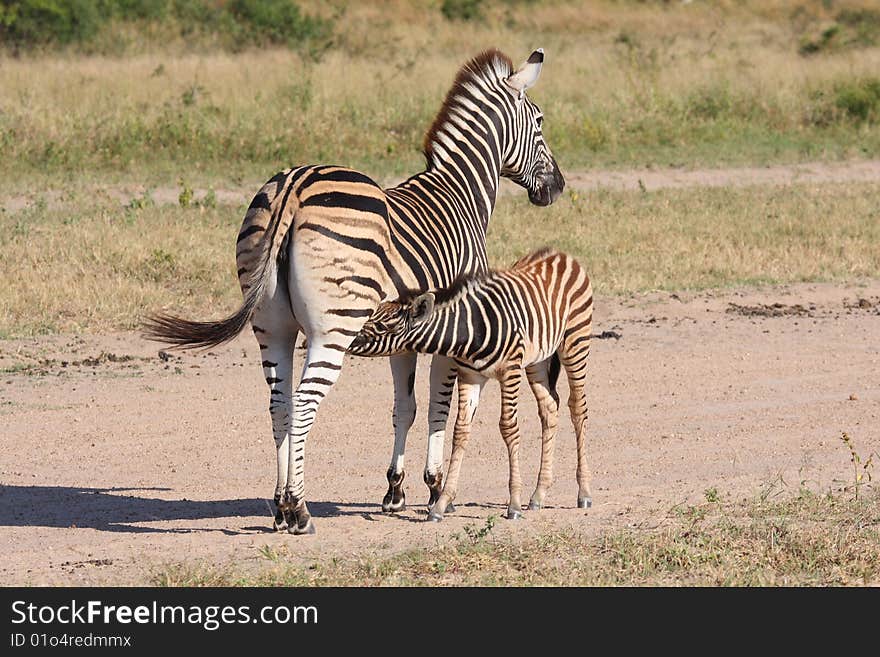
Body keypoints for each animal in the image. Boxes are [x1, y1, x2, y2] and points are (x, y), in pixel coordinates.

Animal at [141, 48, 560, 536]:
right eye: (540, 120)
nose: (558, 187)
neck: (459, 194)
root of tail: (294, 186)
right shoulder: (453, 329)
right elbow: (439, 406)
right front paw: (436, 488)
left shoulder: (407, 336)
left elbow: (405, 406)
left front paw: (395, 491)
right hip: (333, 329)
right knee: (304, 403)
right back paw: (299, 509)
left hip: (272, 327)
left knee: (279, 404)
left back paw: (280, 507)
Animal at [348, 249, 592, 520]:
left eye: (382, 326)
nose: (348, 341)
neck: (470, 330)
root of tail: (560, 254)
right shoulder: (470, 376)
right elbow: (460, 430)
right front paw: (442, 503)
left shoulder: (510, 371)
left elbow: (508, 428)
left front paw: (513, 504)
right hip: (538, 360)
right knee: (549, 408)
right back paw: (539, 494)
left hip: (575, 343)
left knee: (577, 407)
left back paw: (583, 492)